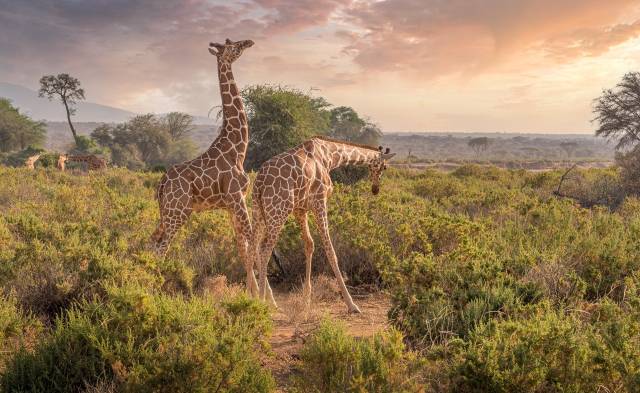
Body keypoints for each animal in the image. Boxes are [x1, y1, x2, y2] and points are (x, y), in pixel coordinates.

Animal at [151, 38, 276, 302]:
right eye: (233, 46)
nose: (249, 41)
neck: (237, 148)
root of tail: (162, 183)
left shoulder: (231, 205)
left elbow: (242, 247)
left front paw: (252, 295)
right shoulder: (237, 198)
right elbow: (252, 241)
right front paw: (267, 299)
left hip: (166, 213)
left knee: (153, 240)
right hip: (179, 213)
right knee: (162, 247)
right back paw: (153, 290)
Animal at [250, 136, 396, 312]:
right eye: (384, 167)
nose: (375, 189)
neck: (330, 156)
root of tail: (259, 182)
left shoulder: (300, 209)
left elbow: (309, 244)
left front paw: (306, 299)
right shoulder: (320, 201)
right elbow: (330, 250)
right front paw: (351, 304)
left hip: (259, 211)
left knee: (252, 247)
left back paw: (252, 296)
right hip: (278, 211)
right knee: (264, 249)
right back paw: (261, 301)